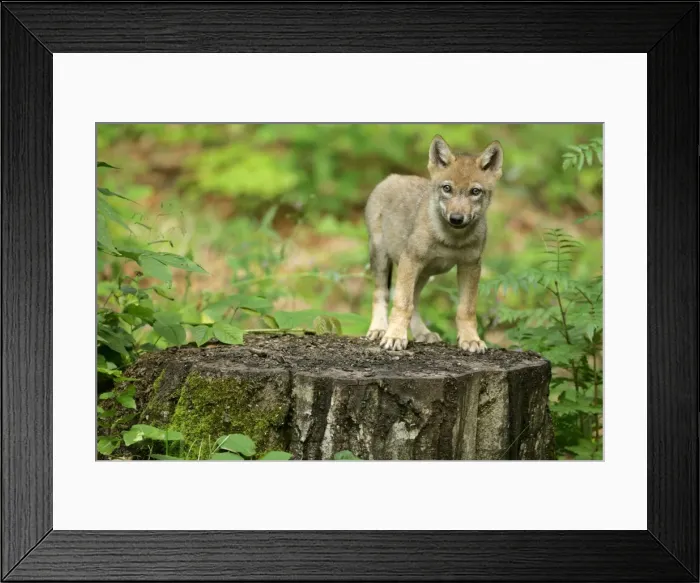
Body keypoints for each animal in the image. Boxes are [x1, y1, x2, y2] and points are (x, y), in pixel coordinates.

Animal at [364, 135, 503, 352]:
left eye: (475, 191)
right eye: (447, 188)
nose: (456, 218)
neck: (452, 240)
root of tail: (392, 177)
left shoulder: (470, 266)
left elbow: (466, 309)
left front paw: (470, 339)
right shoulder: (410, 261)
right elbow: (402, 304)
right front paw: (394, 336)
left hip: (424, 273)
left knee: (415, 301)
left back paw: (423, 333)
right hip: (382, 258)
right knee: (382, 294)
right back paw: (379, 329)